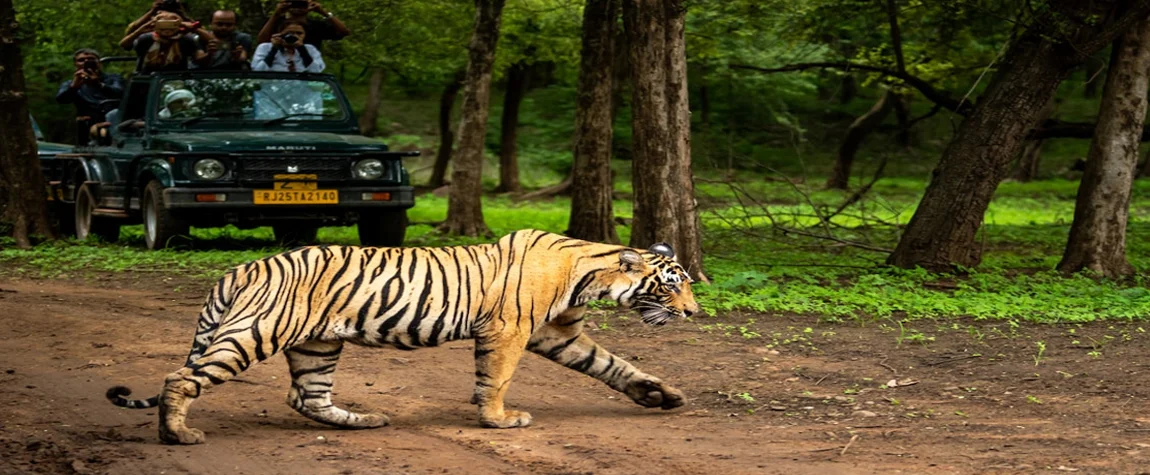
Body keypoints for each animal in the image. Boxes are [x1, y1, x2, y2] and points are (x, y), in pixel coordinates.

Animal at [105, 230, 699, 443]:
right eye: (672, 286)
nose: (694, 312)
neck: (589, 275)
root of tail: (241, 268)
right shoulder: (508, 330)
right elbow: (497, 378)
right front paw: (498, 420)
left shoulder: (555, 334)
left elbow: (613, 365)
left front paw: (661, 395)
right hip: (255, 332)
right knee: (180, 376)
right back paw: (177, 435)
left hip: (318, 344)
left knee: (307, 397)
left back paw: (364, 420)